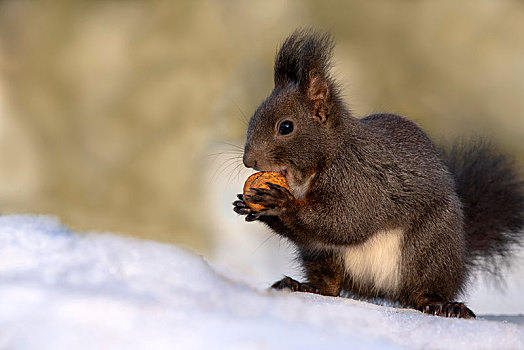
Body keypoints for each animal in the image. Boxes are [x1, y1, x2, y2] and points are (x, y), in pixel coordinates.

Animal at [233, 30, 524, 320]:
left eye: (286, 127)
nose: (249, 160)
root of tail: (378, 290)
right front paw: (247, 205)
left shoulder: (362, 180)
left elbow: (345, 220)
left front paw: (281, 203)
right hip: (322, 256)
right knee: (331, 286)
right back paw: (304, 285)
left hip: (431, 247)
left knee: (423, 289)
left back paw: (442, 304)